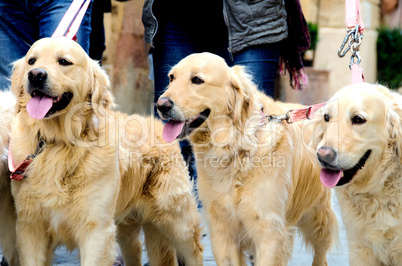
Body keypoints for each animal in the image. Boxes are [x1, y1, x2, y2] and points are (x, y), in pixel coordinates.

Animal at [8, 37, 204, 266]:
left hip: (176, 219)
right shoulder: (30, 227)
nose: (35, 75)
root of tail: (159, 125)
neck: (57, 143)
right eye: (31, 61)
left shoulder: (97, 230)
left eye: (64, 61)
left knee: (195, 250)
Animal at [155, 52, 338, 266]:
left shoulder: (269, 232)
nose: (161, 105)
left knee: (321, 253)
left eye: (197, 80)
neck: (234, 148)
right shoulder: (222, 231)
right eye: (171, 78)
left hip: (318, 218)